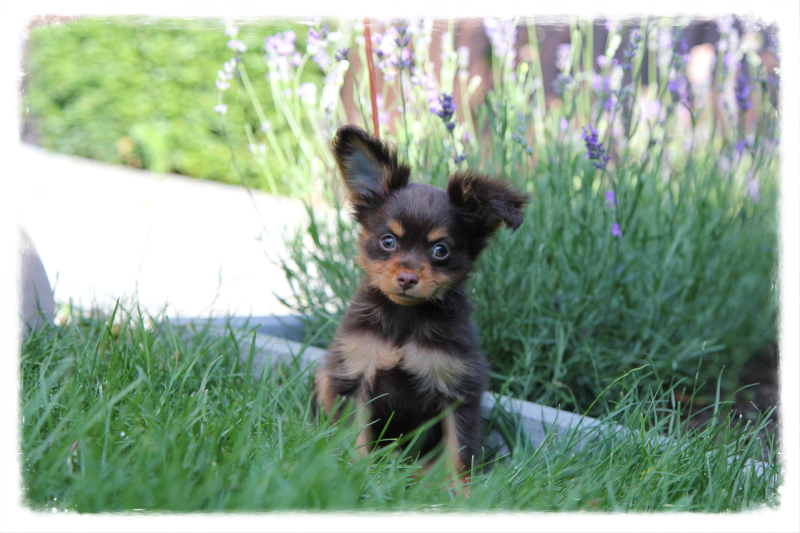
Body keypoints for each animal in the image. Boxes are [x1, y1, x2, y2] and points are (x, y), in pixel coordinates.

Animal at [313, 125, 529, 493]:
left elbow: (460, 448)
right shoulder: (356, 375)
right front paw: (354, 472)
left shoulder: (459, 390)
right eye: (388, 241)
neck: (405, 319)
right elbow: (354, 434)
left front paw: (461, 492)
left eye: (441, 250)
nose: (407, 278)